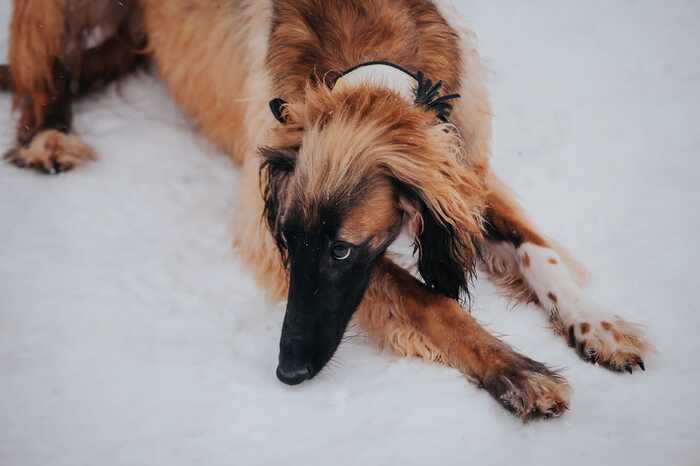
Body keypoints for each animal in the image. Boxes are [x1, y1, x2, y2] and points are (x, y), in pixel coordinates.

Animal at [2, 0, 652, 420]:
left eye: (341, 249)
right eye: (288, 242)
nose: (287, 372)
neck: (368, 67)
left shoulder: (460, 160)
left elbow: (535, 247)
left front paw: (596, 322)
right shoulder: (265, 219)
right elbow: (425, 299)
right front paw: (514, 369)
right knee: (44, 71)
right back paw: (48, 136)